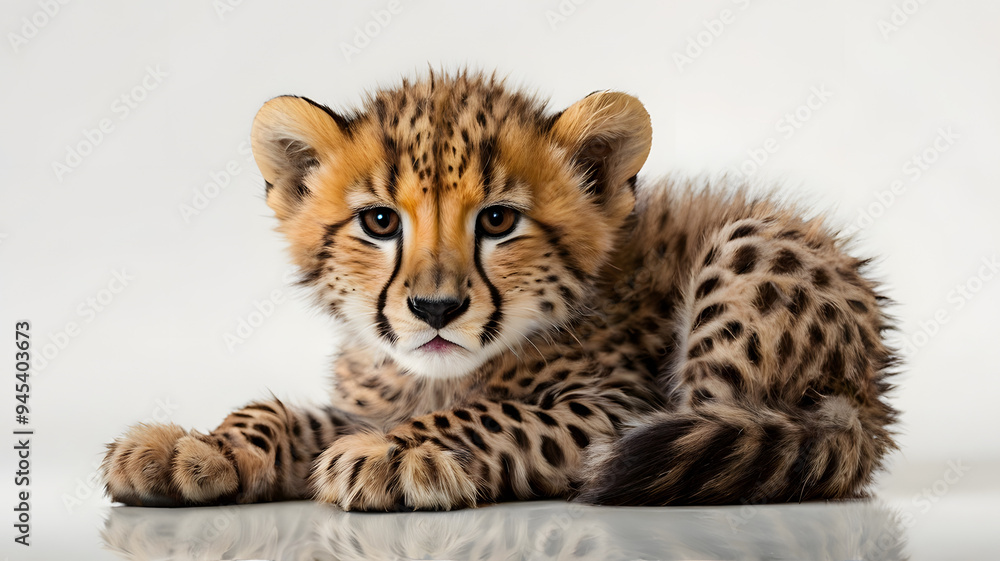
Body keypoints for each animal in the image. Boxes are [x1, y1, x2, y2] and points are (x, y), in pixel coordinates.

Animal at [101, 69, 898, 511]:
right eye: (380, 222)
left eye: (497, 221)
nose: (435, 309)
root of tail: (869, 397)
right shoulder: (370, 398)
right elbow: (282, 413)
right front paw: (196, 447)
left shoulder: (615, 408)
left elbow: (495, 413)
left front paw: (396, 455)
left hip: (750, 248)